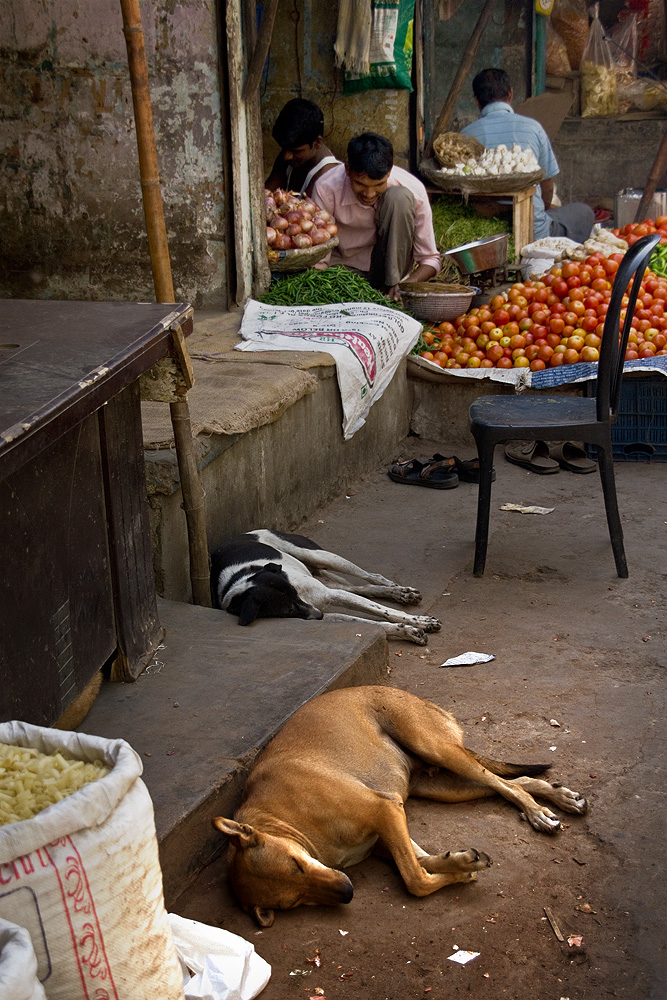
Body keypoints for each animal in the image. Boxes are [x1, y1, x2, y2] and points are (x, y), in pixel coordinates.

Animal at [211, 532, 444, 648]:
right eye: (285, 610)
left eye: (294, 594)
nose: (318, 616)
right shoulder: (325, 613)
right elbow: (375, 624)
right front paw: (408, 631)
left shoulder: (329, 596)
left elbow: (384, 611)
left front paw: (420, 621)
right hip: (328, 578)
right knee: (364, 588)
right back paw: (398, 593)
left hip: (318, 556)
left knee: (372, 576)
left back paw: (400, 590)